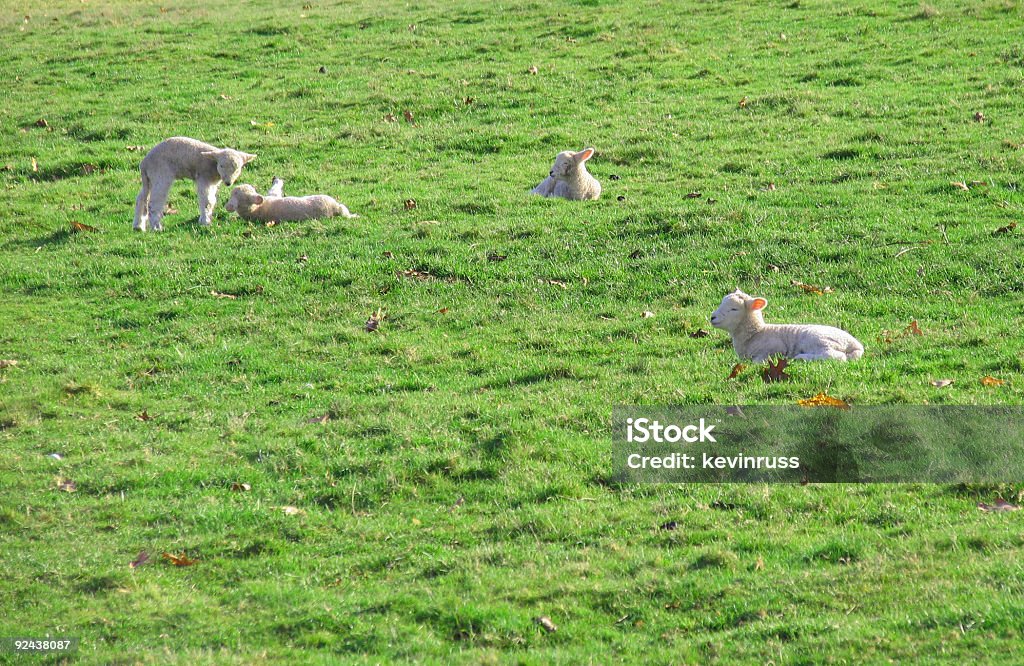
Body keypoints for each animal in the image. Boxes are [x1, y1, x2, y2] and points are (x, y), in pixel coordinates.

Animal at [712, 286, 864, 360]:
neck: (756, 332)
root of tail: (855, 345)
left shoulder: (774, 348)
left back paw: (801, 357)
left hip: (818, 340)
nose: (712, 317)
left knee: (836, 356)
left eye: (734, 309)